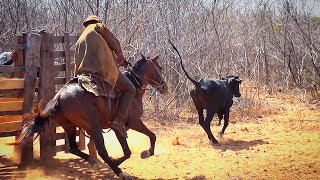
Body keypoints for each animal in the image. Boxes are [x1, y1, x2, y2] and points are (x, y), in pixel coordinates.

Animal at [10, 54, 168, 179]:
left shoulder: (119, 128)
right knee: (101, 150)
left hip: (70, 126)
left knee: (73, 148)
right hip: (94, 127)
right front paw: (145, 153)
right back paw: (120, 173)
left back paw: (94, 162)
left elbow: (127, 151)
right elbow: (151, 137)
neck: (134, 90)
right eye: (159, 67)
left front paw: (115, 161)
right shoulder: (134, 122)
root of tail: (59, 97)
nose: (164, 87)